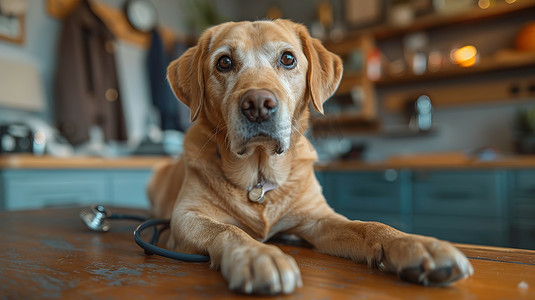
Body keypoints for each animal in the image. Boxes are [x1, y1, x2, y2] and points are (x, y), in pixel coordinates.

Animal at [147, 19, 474, 296]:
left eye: (287, 59)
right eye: (224, 62)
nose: (258, 104)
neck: (260, 177)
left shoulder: (320, 218)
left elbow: (370, 226)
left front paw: (416, 244)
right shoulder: (185, 218)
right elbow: (230, 230)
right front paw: (257, 254)